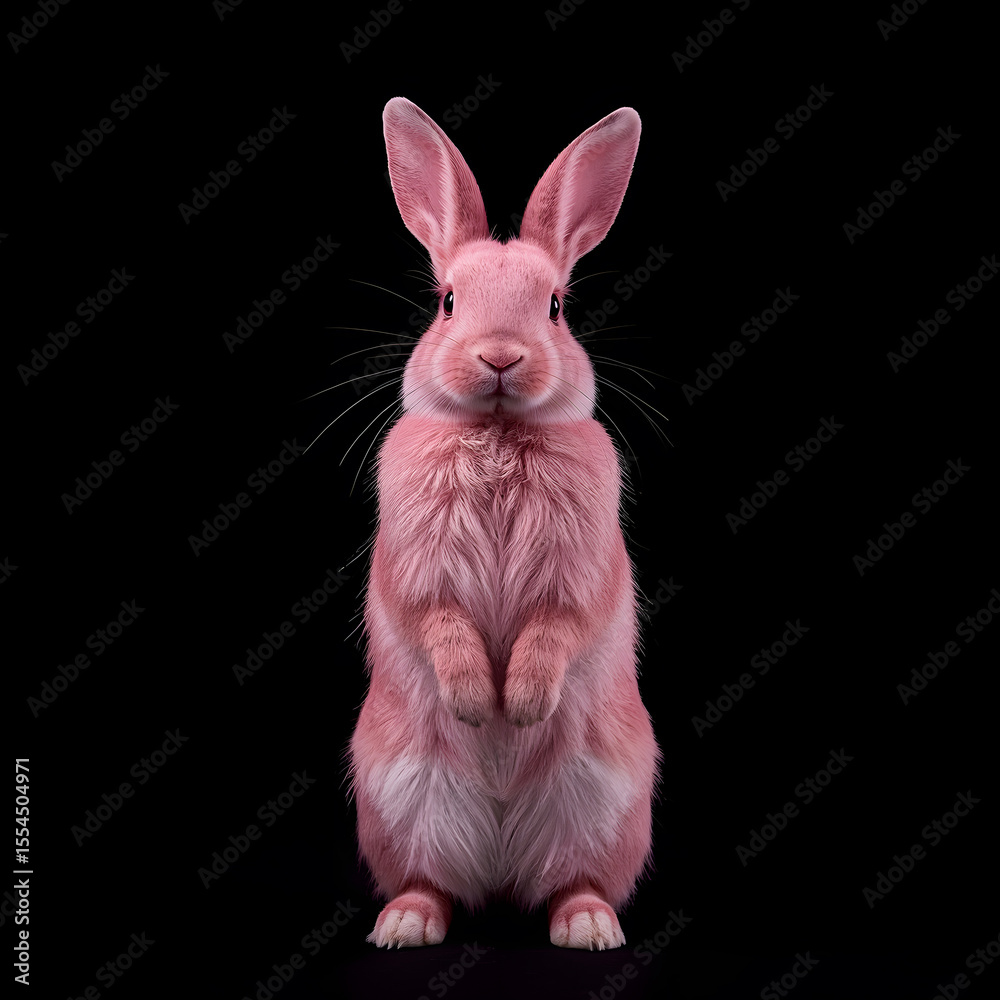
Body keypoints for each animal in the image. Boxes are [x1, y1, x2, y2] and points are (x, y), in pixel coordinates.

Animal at [348, 97, 659, 951]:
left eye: (555, 307)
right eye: (448, 301)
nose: (499, 358)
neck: (495, 432)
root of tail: (500, 859)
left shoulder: (581, 577)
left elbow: (555, 628)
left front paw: (515, 706)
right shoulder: (416, 573)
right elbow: (438, 621)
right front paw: (474, 703)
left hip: (605, 802)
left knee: (573, 881)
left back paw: (587, 927)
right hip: (400, 801)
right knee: (433, 881)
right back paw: (405, 926)